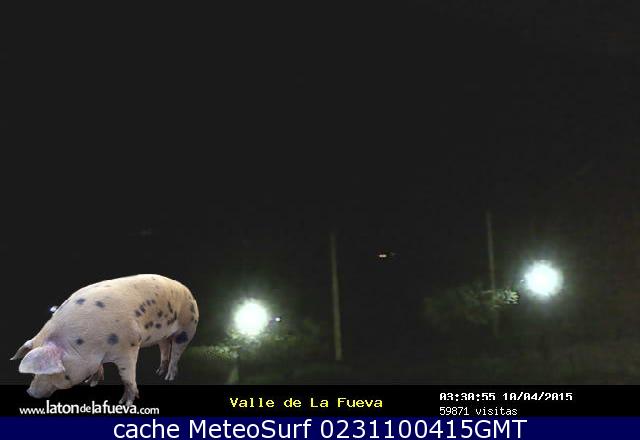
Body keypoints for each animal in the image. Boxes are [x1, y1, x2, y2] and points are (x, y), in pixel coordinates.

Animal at [10, 274, 199, 405]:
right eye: (33, 373)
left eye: (47, 372)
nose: (30, 392)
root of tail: (187, 289)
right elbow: (97, 368)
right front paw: (91, 383)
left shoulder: (129, 345)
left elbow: (127, 376)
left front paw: (125, 403)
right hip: (162, 336)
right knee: (164, 347)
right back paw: (159, 372)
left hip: (188, 326)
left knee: (176, 352)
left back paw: (168, 377)